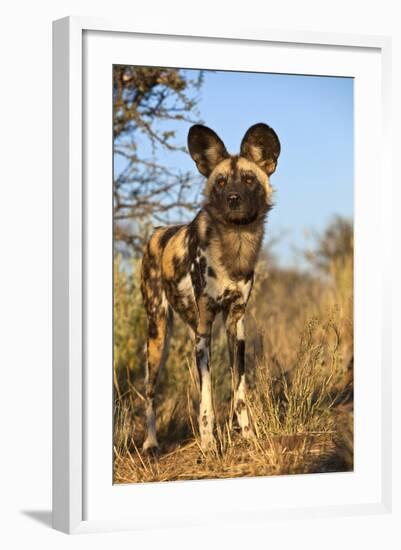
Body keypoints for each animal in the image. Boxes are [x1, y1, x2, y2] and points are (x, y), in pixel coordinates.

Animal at [141, 123, 282, 454]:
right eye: (220, 182)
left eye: (248, 179)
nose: (233, 198)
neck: (234, 245)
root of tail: (157, 232)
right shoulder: (204, 329)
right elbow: (206, 397)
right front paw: (208, 444)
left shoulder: (235, 325)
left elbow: (239, 391)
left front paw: (248, 435)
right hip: (158, 334)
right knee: (150, 392)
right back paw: (151, 444)